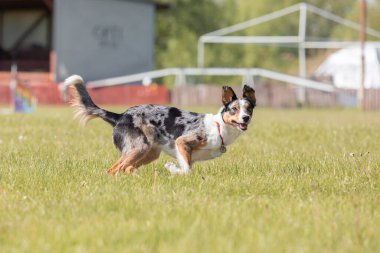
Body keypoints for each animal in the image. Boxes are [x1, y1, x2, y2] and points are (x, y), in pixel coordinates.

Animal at [66, 74, 255, 175]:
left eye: (249, 109)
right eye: (234, 109)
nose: (245, 118)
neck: (219, 128)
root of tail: (120, 116)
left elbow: (187, 168)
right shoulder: (182, 142)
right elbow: (186, 170)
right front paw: (171, 168)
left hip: (148, 153)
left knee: (124, 168)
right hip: (139, 147)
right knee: (114, 169)